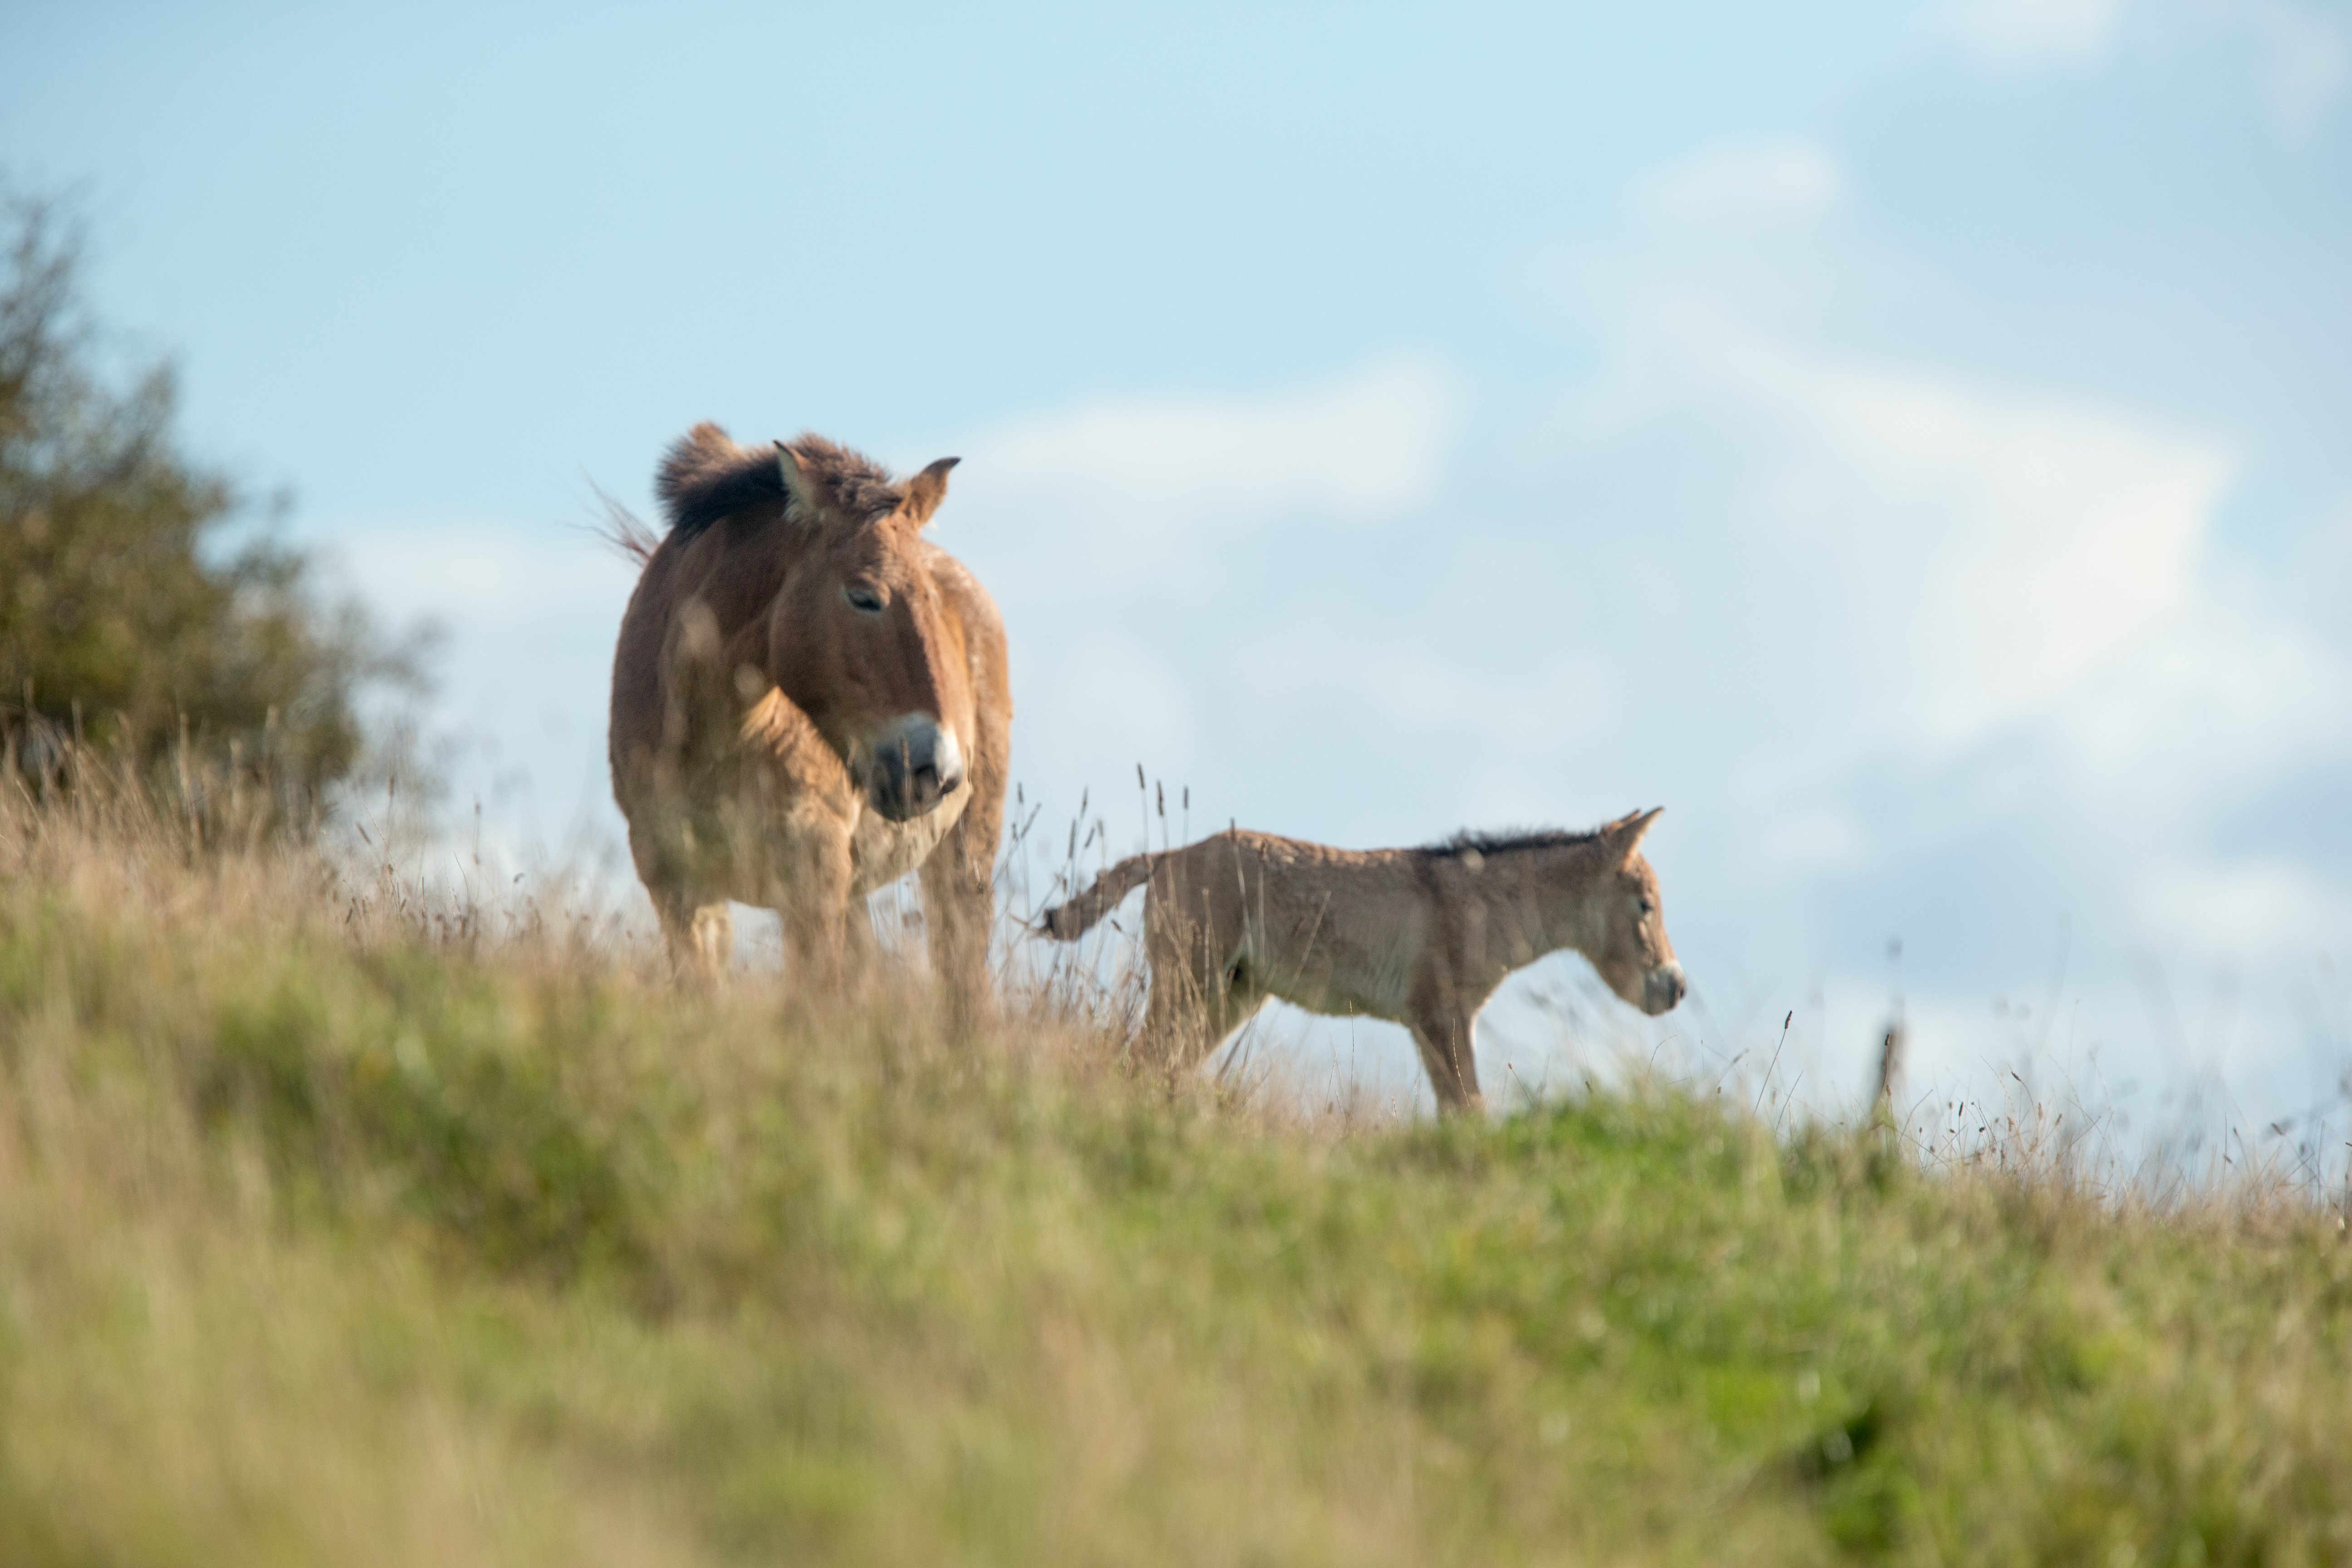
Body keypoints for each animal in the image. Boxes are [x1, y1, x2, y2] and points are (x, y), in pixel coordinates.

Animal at [607, 423, 1011, 1011]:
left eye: (933, 603)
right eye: (863, 597)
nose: (934, 770)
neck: (716, 742)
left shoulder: (812, 883)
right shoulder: (680, 889)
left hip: (964, 853)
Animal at [1039, 818, 1684, 1109]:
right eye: (1646, 905)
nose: (1675, 987)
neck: (1480, 905)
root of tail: (1169, 854)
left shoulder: (1442, 1027)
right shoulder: (1440, 1022)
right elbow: (1470, 1114)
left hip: (1228, 1002)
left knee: (1160, 1066)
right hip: (1189, 992)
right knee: (1137, 1058)